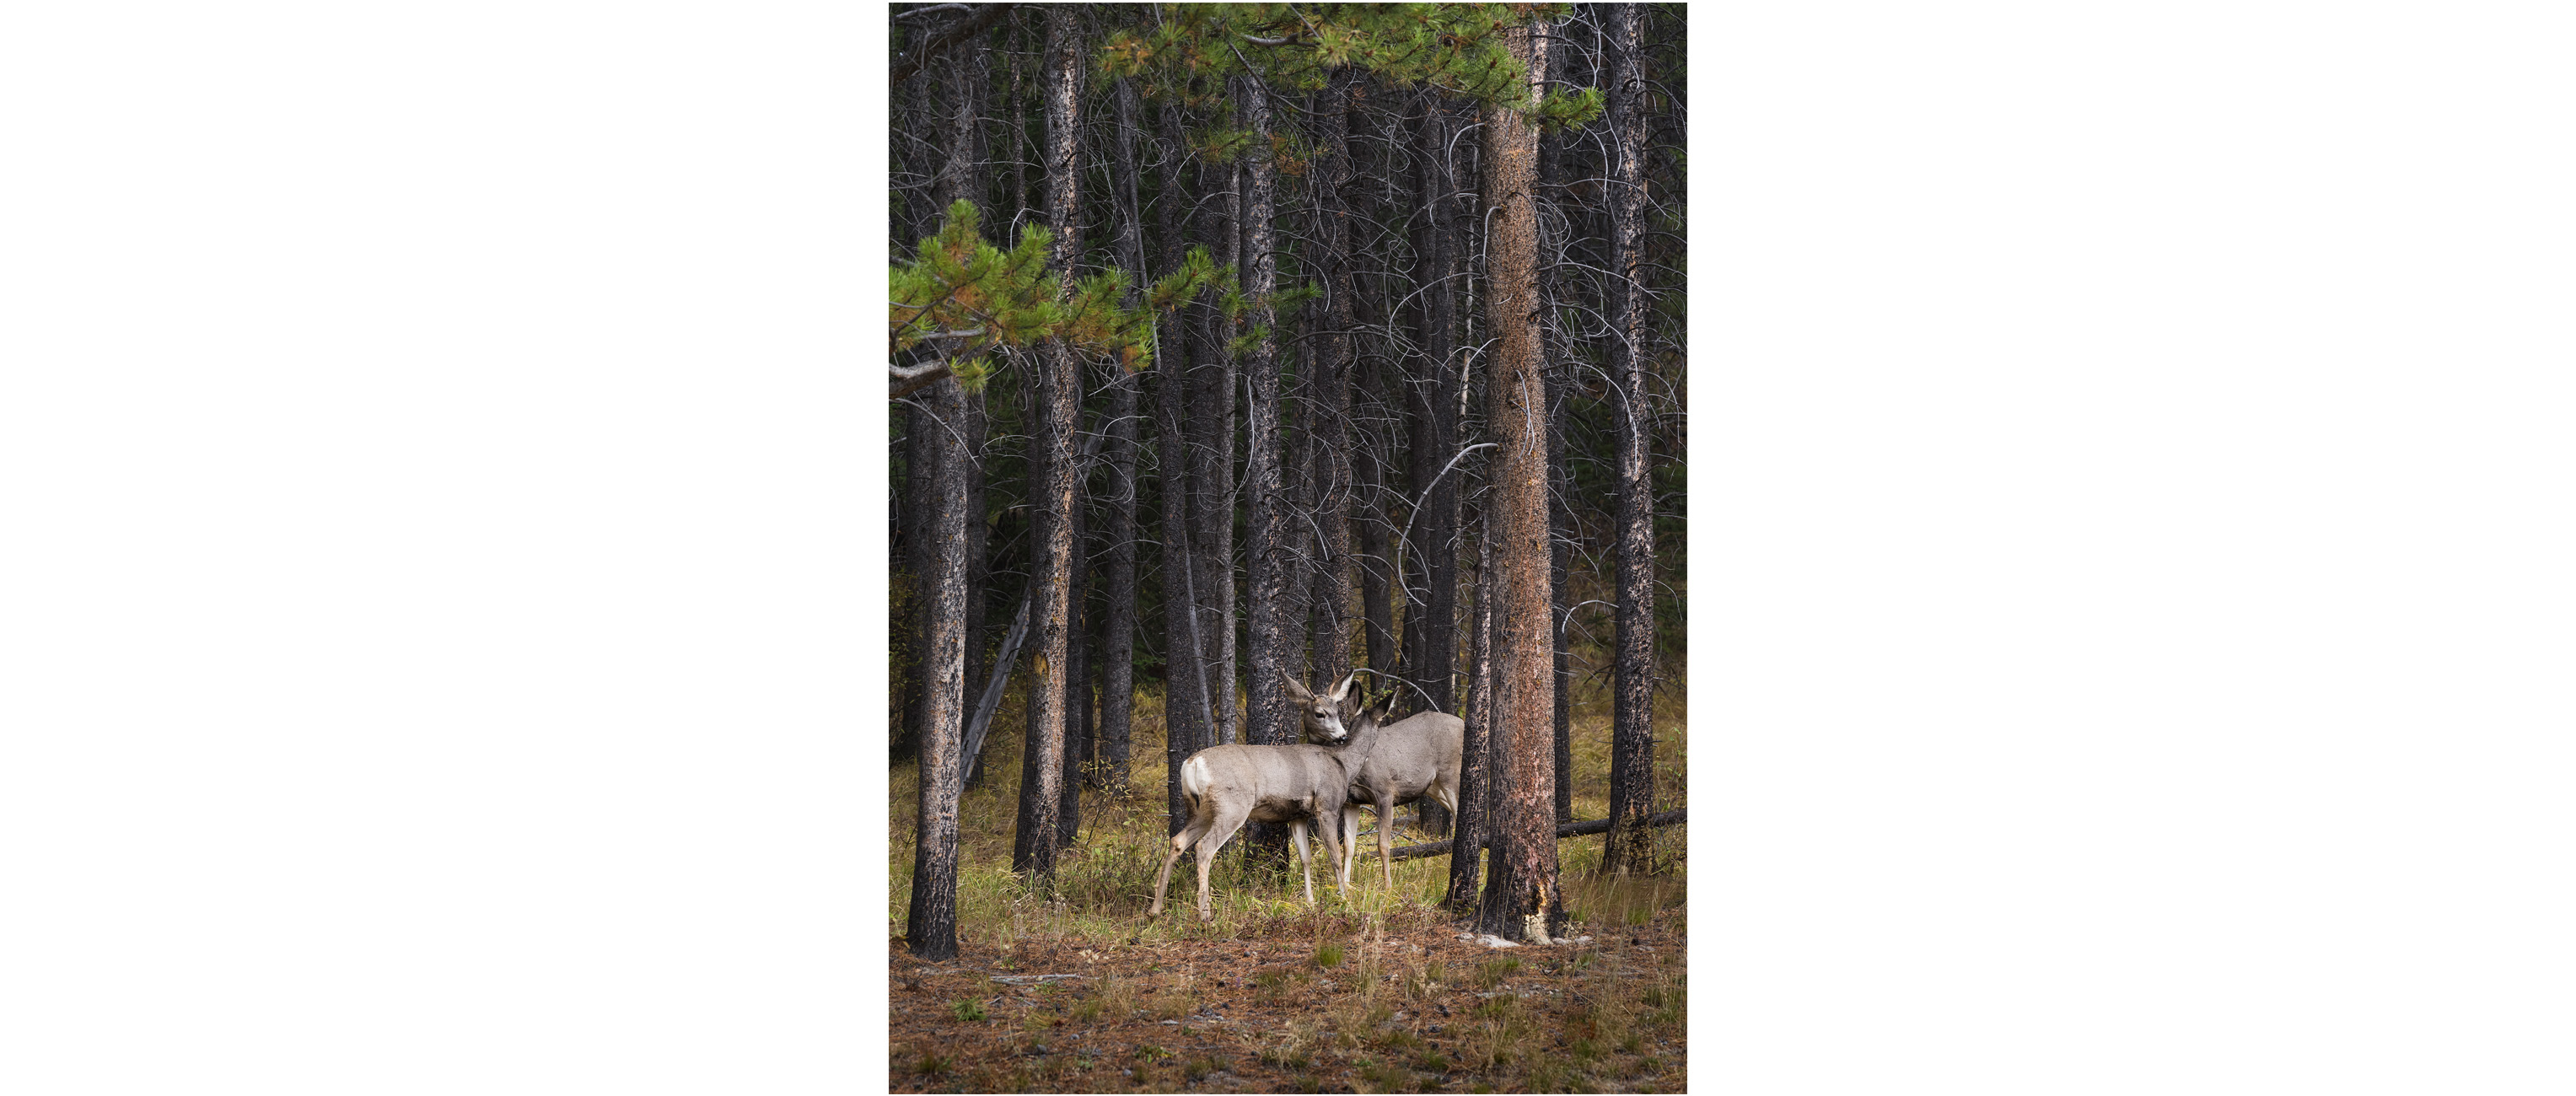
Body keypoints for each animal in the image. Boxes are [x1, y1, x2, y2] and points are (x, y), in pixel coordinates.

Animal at [1149, 699, 1395, 923]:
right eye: (1382, 723)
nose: (1342, 736)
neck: (1344, 764)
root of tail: (1192, 764)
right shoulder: (1327, 806)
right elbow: (1334, 854)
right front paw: (1344, 899)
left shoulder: (1297, 815)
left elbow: (1305, 857)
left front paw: (1310, 902)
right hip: (1232, 807)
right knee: (1204, 848)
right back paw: (1205, 914)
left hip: (1201, 811)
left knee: (1177, 841)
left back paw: (1156, 909)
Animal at [1282, 670, 1465, 892]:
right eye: (1319, 714)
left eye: (1337, 711)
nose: (1342, 736)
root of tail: (1463, 723)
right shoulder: (1351, 802)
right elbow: (1349, 846)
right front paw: (1348, 884)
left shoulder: (1385, 794)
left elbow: (1383, 845)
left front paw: (1387, 887)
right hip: (1434, 787)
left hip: (1451, 774)